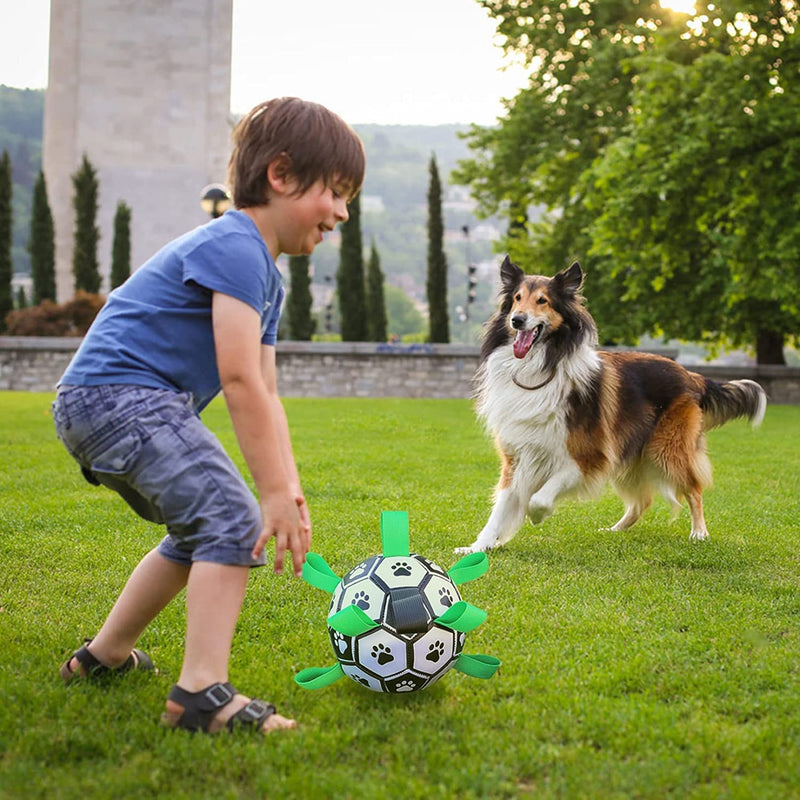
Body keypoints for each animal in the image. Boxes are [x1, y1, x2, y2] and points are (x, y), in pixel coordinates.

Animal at [456, 255, 764, 552]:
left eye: (542, 300)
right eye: (517, 298)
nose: (517, 320)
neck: (540, 366)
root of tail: (691, 375)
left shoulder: (589, 458)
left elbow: (539, 497)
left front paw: (536, 515)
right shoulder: (518, 456)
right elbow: (501, 507)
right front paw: (478, 546)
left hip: (666, 450)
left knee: (694, 489)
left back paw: (699, 532)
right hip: (631, 453)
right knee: (642, 502)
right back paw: (614, 530)